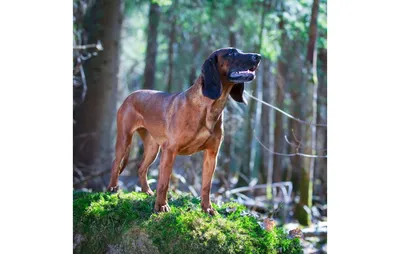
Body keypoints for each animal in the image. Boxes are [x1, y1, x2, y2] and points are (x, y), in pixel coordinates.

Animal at [108, 47, 260, 214]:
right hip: (125, 138)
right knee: (116, 163)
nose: (258, 56)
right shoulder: (170, 151)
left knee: (141, 168)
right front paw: (161, 206)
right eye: (231, 53)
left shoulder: (211, 155)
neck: (209, 107)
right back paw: (112, 188)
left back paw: (147, 191)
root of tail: (130, 95)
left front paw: (207, 208)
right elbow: (164, 183)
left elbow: (206, 186)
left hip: (153, 148)